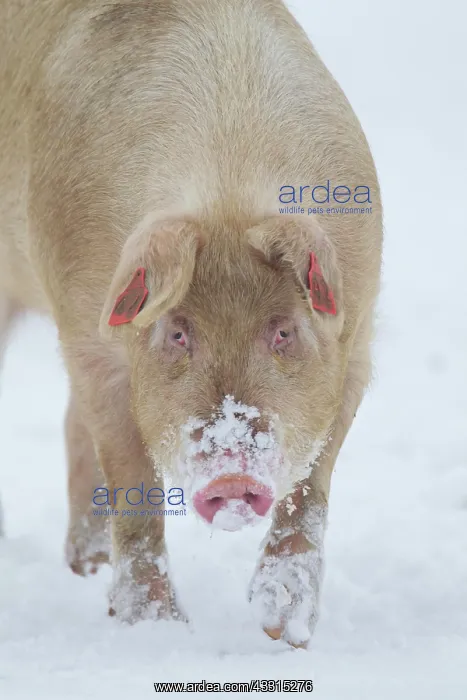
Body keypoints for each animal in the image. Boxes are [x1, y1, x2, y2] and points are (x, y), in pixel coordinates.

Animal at [0, 0, 382, 647]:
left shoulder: (356, 343)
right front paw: (160, 632)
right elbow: (135, 487)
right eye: (178, 331)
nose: (230, 476)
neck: (228, 178)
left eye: (283, 330)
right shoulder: (89, 338)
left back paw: (87, 570)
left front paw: (281, 629)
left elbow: (311, 484)